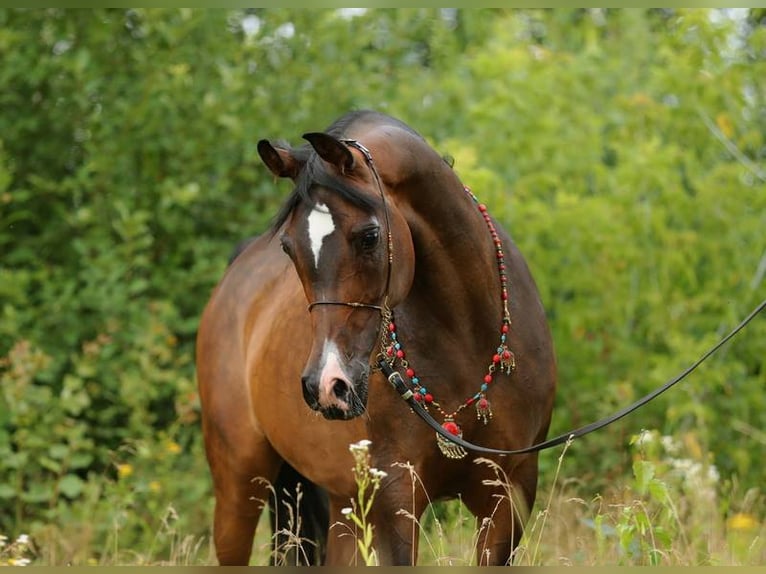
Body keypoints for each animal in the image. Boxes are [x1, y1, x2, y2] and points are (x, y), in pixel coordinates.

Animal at [196, 109, 560, 568]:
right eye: (289, 247)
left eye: (369, 236)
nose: (326, 385)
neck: (465, 339)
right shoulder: (395, 499)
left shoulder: (509, 495)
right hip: (239, 484)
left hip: (343, 504)